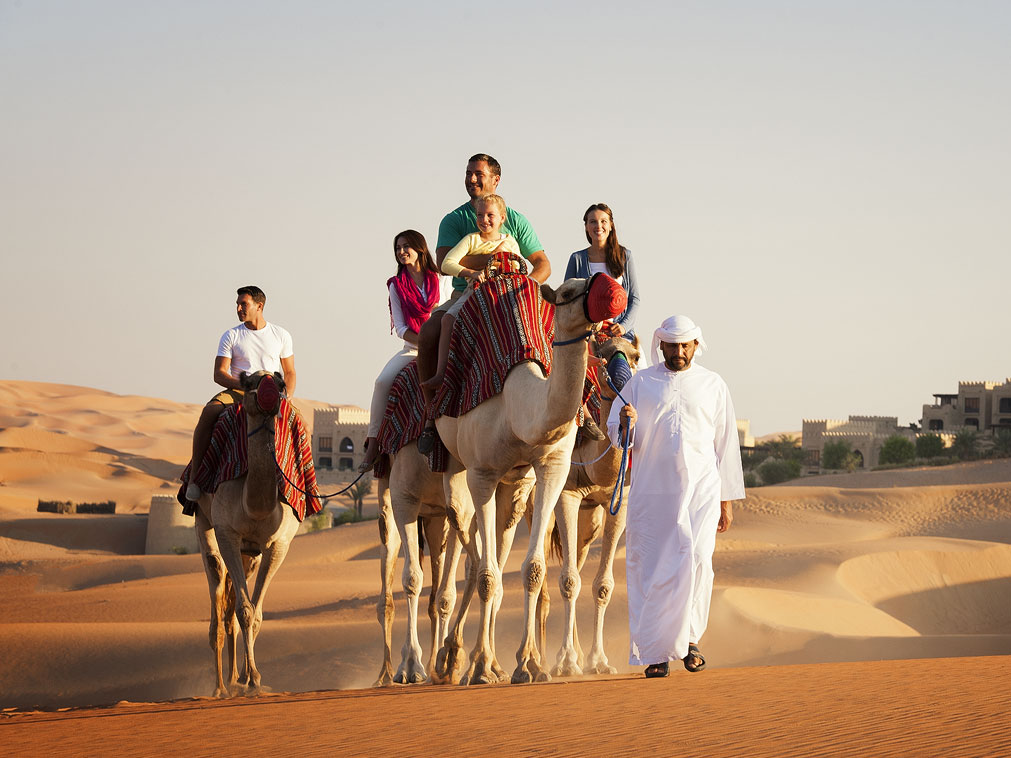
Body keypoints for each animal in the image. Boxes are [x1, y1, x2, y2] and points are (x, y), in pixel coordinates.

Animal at [191, 371, 297, 699]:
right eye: (249, 383)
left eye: (281, 383)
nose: (270, 393)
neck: (257, 505)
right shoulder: (227, 533)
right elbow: (245, 610)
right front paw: (252, 679)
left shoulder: (278, 545)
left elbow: (256, 614)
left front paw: (253, 679)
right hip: (205, 523)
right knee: (217, 584)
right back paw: (220, 686)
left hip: (250, 554)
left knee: (230, 611)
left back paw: (234, 678)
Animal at [434, 278, 614, 687]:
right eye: (568, 293)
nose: (611, 291)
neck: (518, 406)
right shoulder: (482, 472)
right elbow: (487, 575)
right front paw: (482, 668)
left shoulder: (547, 468)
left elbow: (531, 569)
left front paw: (528, 665)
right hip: (450, 470)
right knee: (460, 546)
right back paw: (443, 663)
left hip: (512, 487)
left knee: (492, 555)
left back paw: (477, 661)